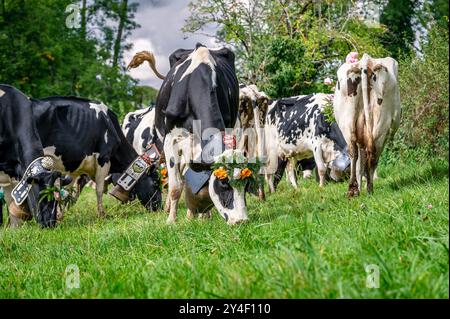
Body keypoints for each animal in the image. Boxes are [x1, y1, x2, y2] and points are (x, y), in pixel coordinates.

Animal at [128, 44, 251, 225]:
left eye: (246, 184)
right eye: (223, 184)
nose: (241, 221)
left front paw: (202, 215)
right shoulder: (171, 140)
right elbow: (175, 186)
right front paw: (171, 221)